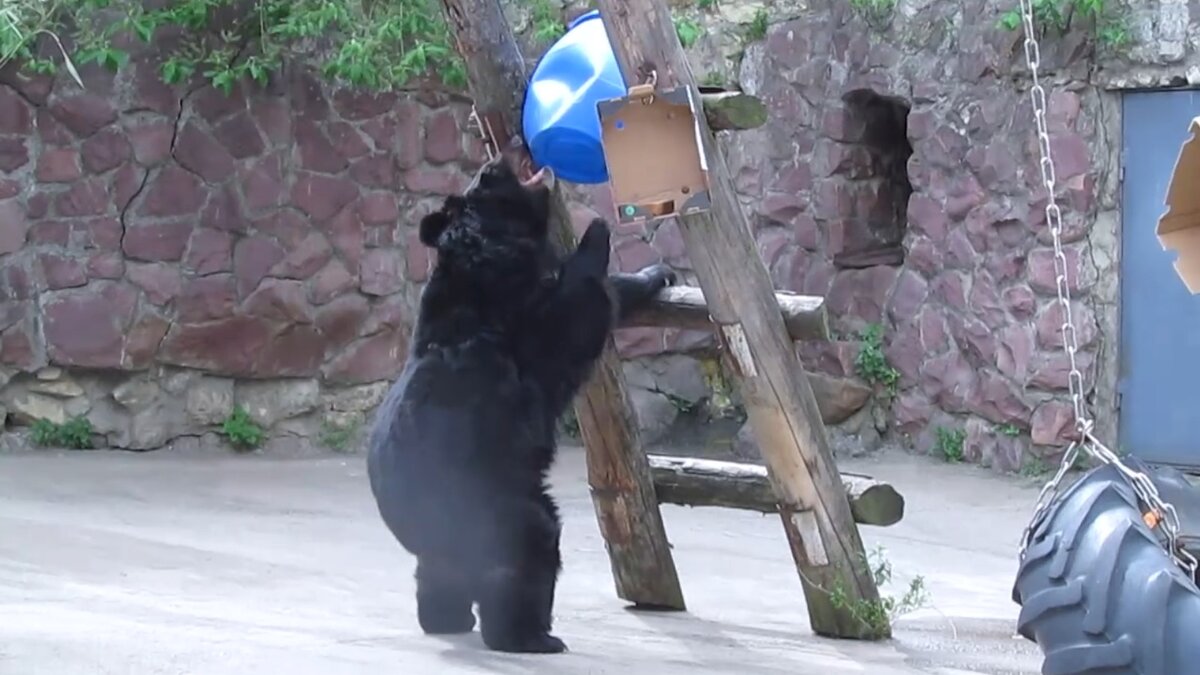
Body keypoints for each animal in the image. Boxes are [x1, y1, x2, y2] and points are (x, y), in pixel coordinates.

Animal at [364, 145, 676, 653]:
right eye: (485, 182)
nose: (496, 160)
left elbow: (607, 296)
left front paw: (658, 272)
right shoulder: (515, 334)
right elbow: (574, 317)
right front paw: (597, 230)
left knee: (437, 578)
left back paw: (445, 618)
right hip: (499, 504)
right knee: (530, 553)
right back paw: (531, 635)